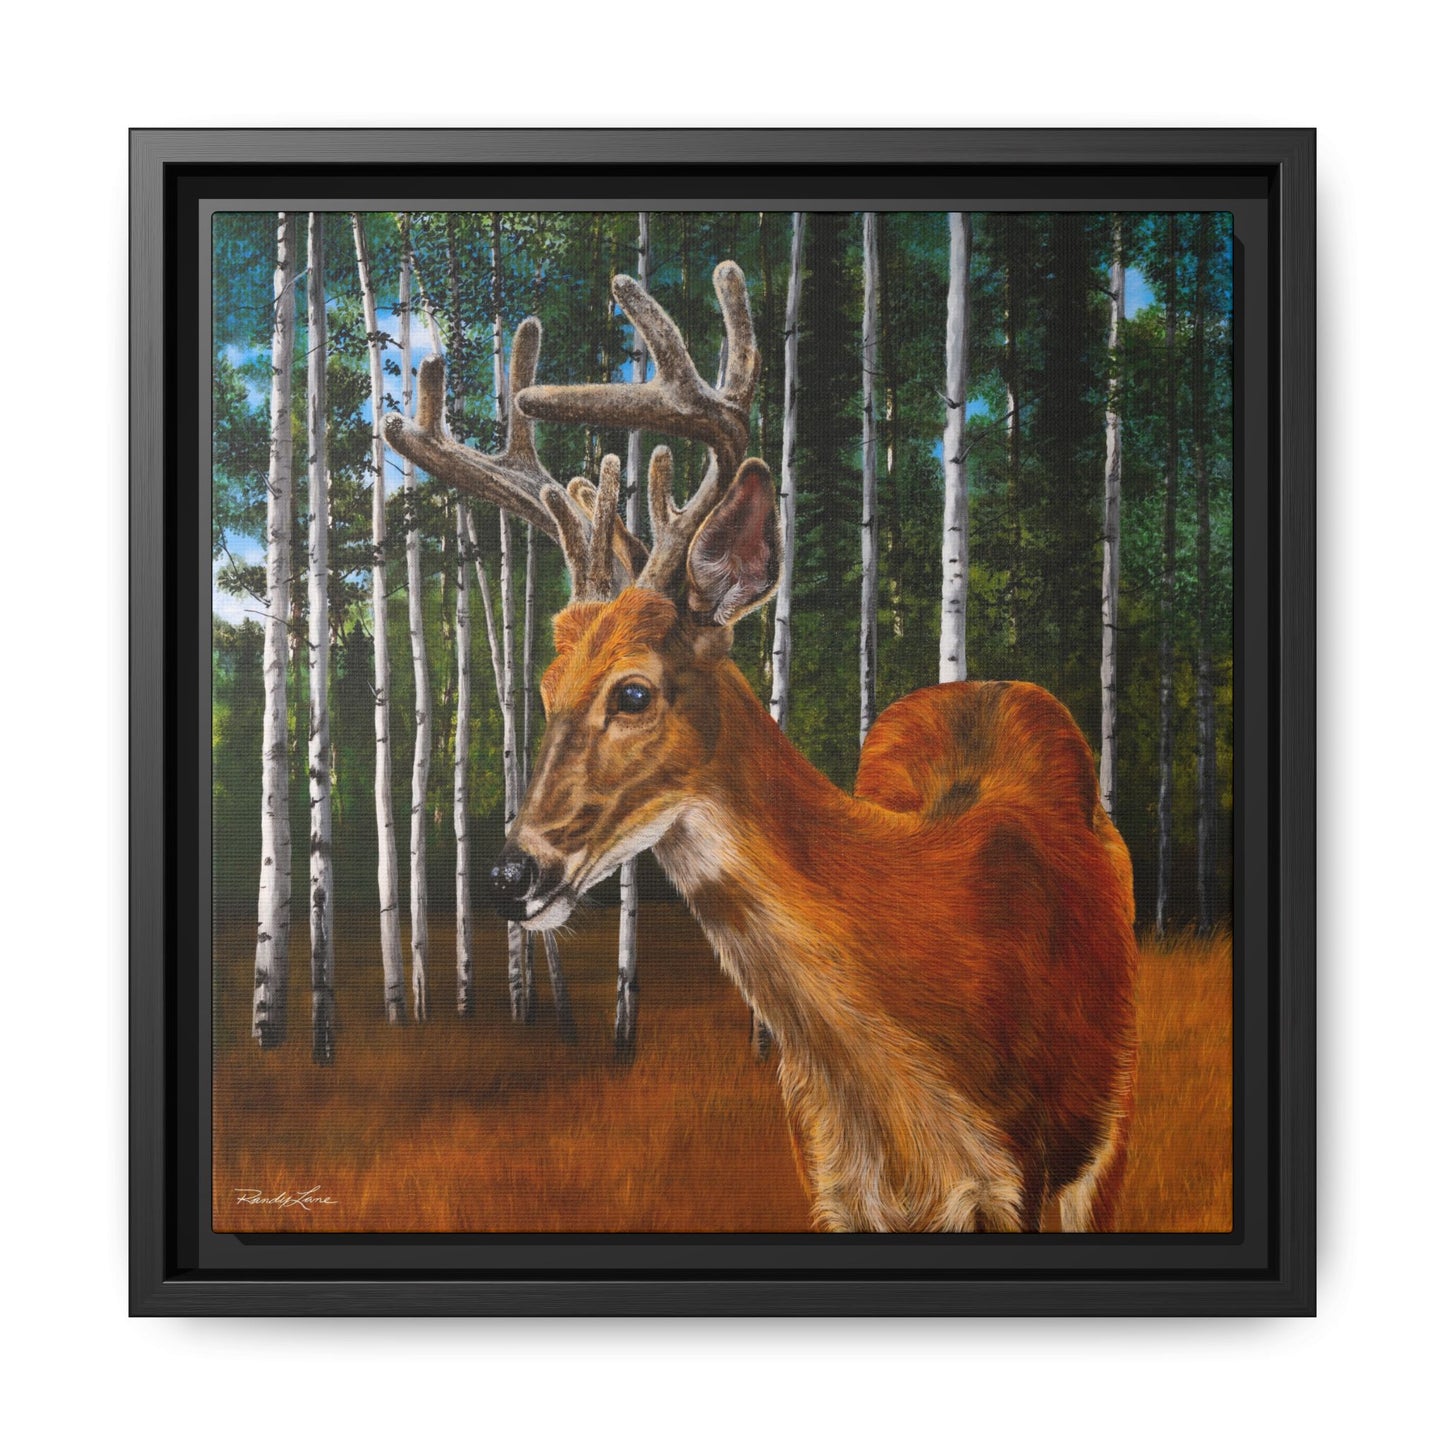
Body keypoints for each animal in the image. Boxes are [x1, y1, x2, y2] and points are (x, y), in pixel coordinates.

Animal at [383, 260, 1138, 1233]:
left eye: (633, 691)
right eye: (545, 689)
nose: (510, 875)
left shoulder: (1024, 1177)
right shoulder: (824, 1176)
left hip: (1107, 1134)